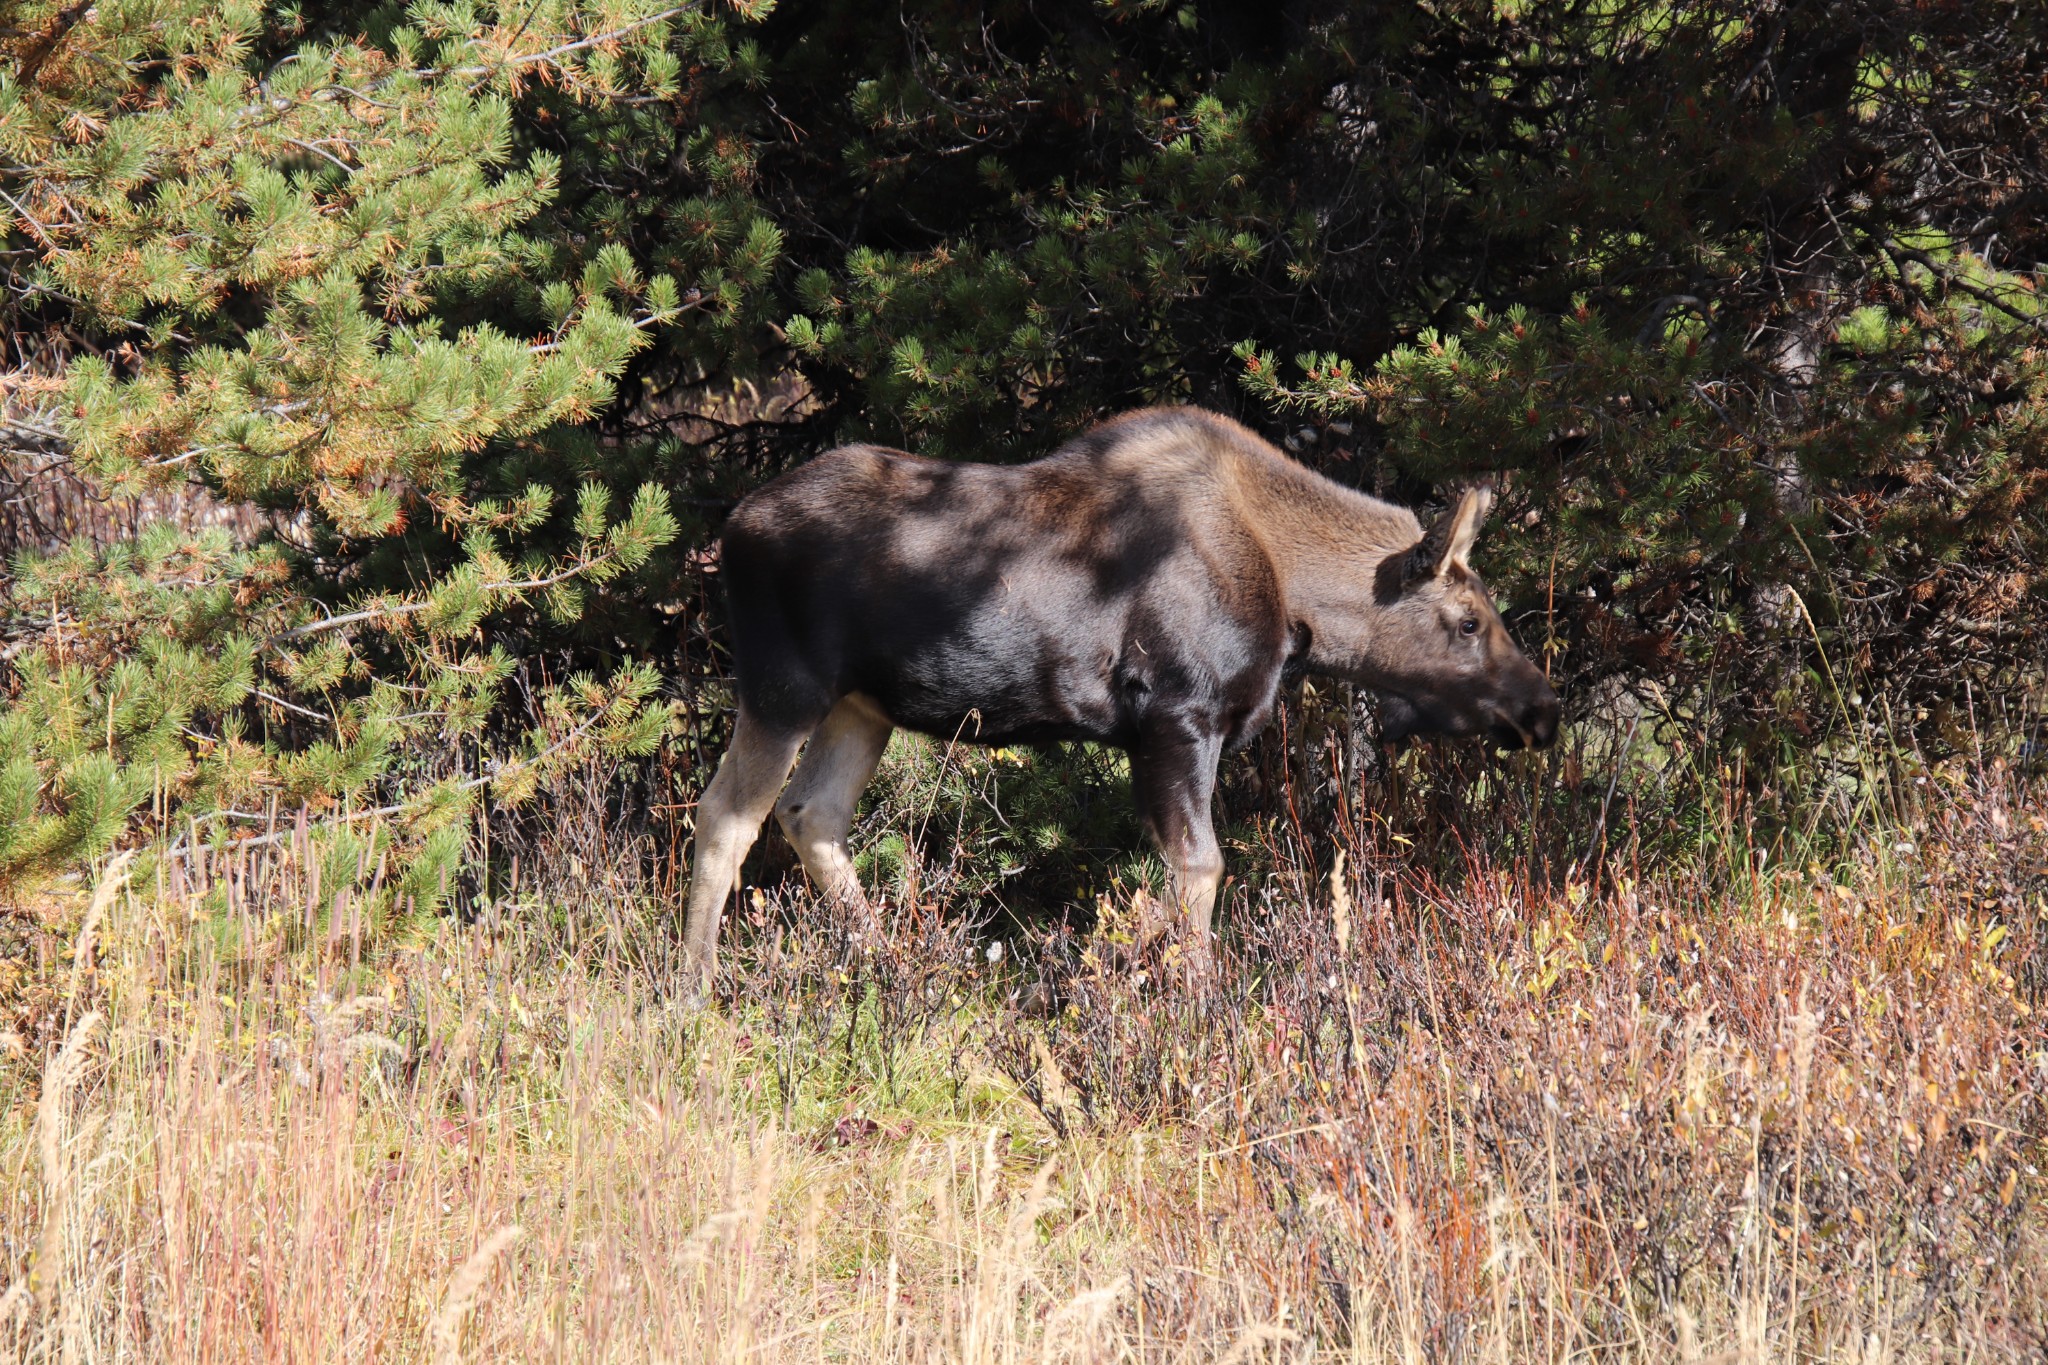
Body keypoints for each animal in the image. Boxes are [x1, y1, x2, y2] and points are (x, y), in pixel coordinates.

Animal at [679, 405, 1556, 982]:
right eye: (1469, 620)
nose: (1542, 709)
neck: (1296, 596)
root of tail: (730, 528)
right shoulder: (1177, 716)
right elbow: (1200, 869)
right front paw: (1188, 999)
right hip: (783, 685)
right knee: (726, 814)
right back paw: (693, 989)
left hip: (863, 705)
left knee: (811, 812)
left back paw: (890, 964)